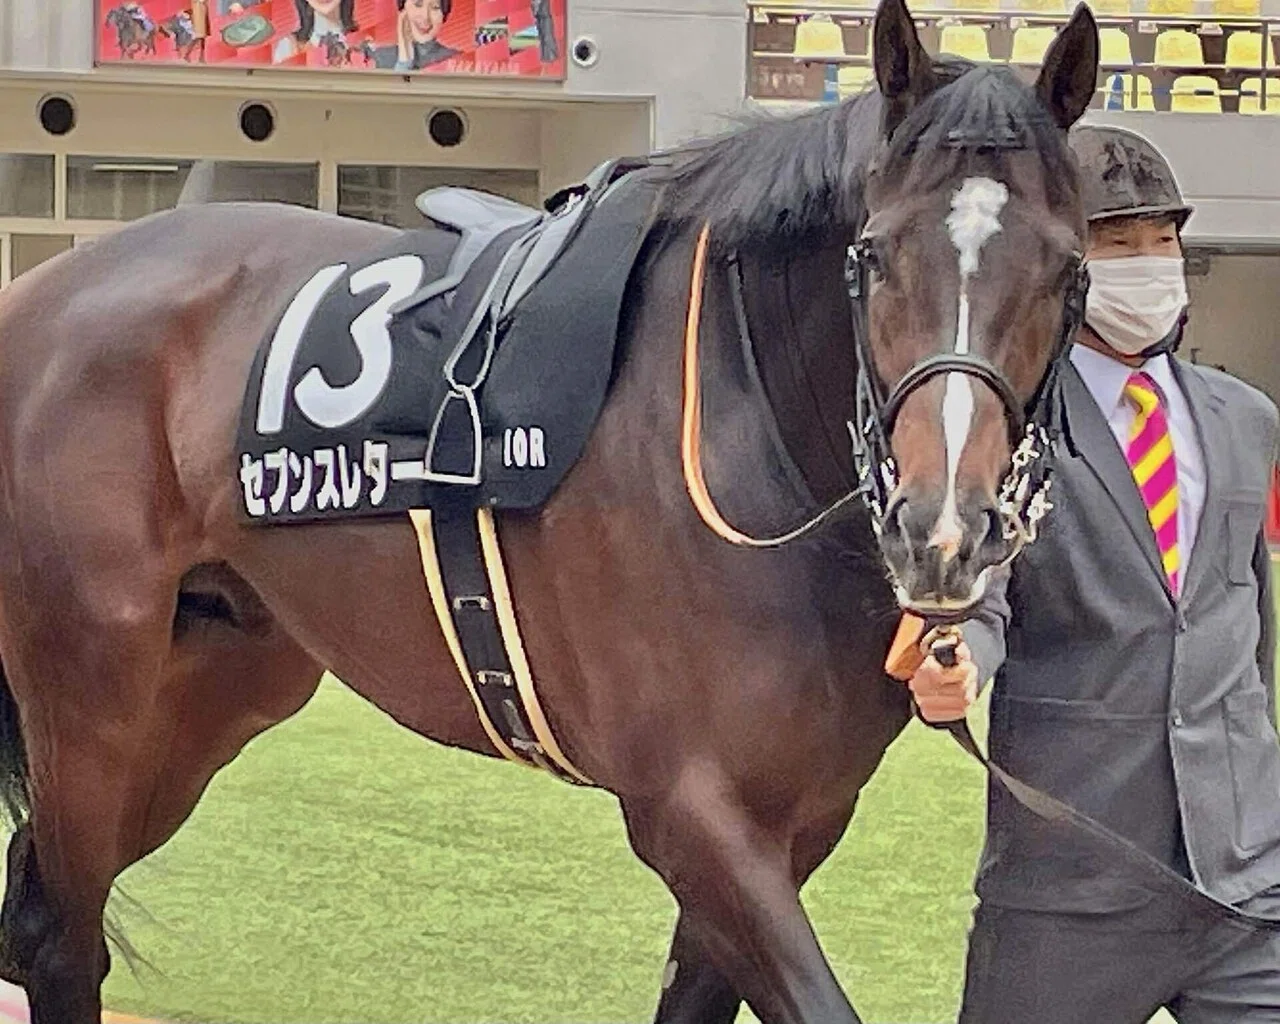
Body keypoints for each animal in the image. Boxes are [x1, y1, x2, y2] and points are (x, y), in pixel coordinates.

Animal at [0, 0, 1098, 1019]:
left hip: (215, 681)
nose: (942, 529)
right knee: (63, 938)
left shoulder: (796, 818)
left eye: (1065, 267)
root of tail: (45, 287)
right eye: (872, 254)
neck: (745, 419)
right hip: (90, 691)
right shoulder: (691, 811)